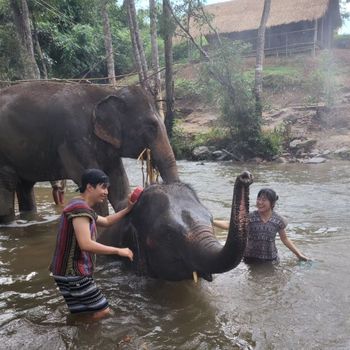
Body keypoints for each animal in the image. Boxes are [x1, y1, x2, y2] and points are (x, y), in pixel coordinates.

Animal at [0, 81, 179, 223]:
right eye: (151, 126)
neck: (107, 92)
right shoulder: (74, 138)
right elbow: (91, 181)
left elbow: (118, 184)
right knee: (8, 182)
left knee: (24, 186)